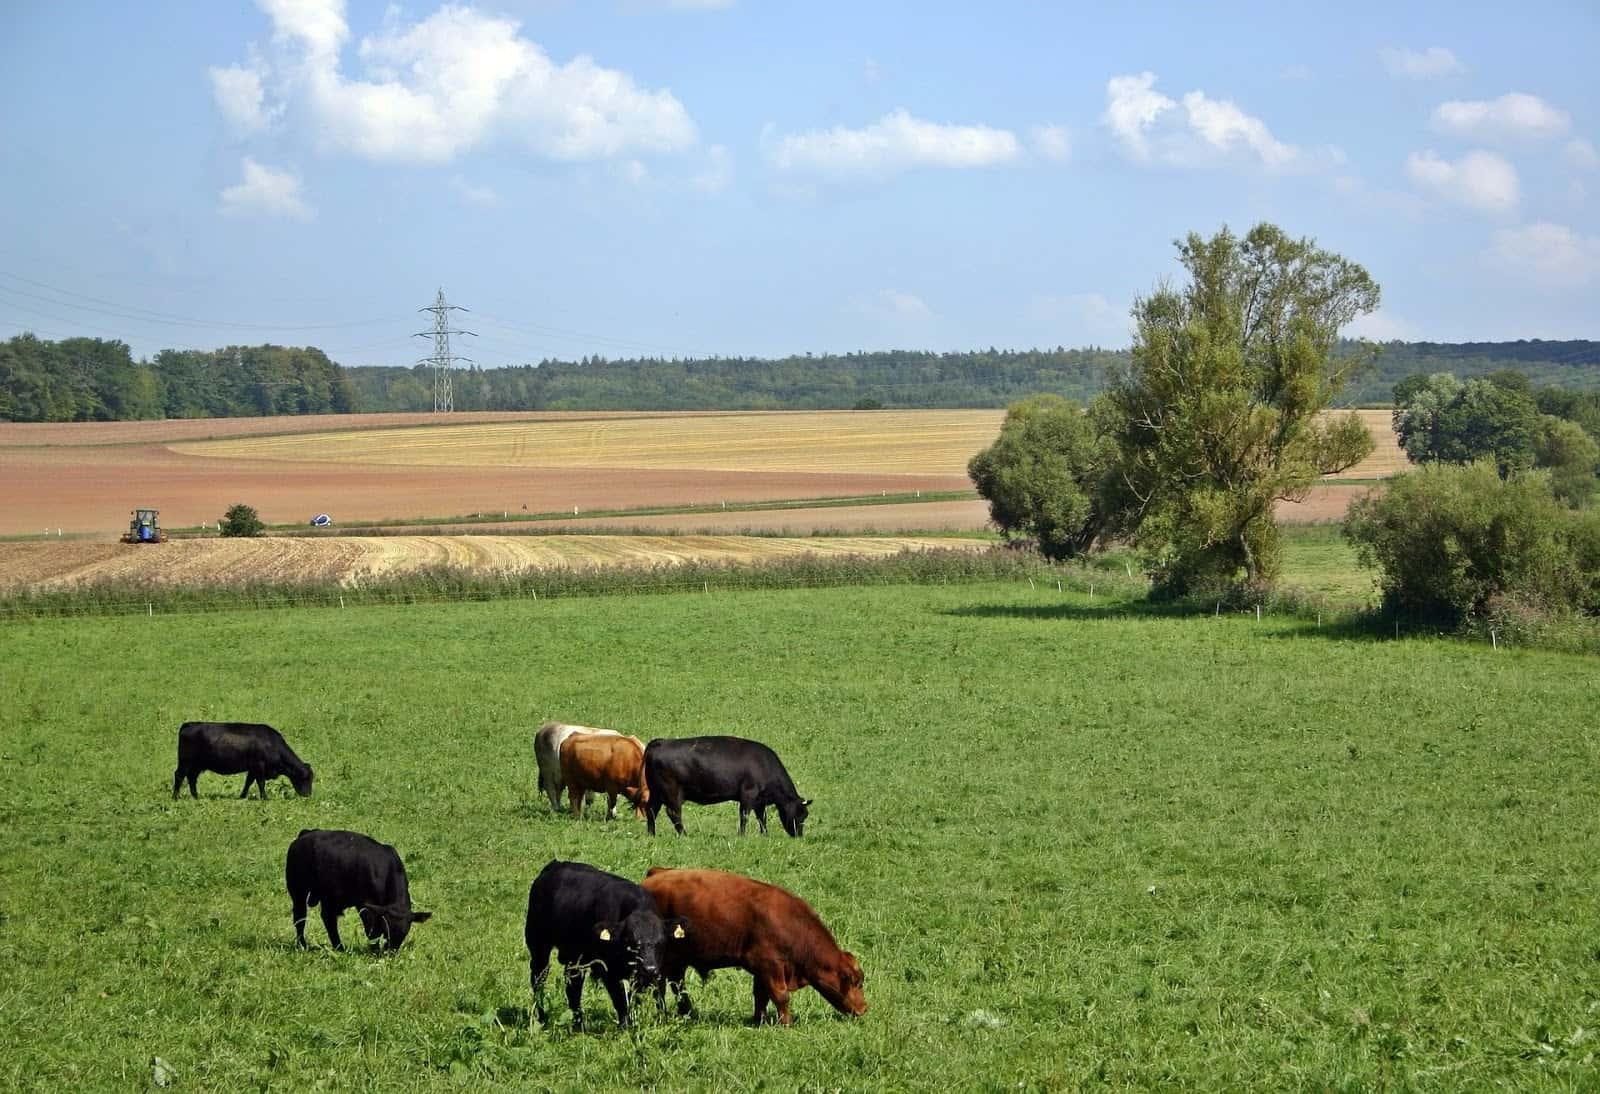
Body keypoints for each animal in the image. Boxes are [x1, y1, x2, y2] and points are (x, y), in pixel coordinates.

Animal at [173, 722, 313, 799]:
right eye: (305, 778)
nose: (308, 795)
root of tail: (190, 724)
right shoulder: (259, 766)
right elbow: (261, 783)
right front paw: (265, 798)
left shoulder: (252, 768)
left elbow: (248, 782)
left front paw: (242, 796)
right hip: (186, 762)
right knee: (179, 775)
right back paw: (175, 797)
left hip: (196, 765)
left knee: (192, 778)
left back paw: (196, 797)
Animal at [283, 831, 428, 946]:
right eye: (387, 930)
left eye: (405, 932)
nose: (391, 951)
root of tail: (305, 835)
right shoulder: (366, 906)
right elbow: (372, 932)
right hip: (298, 892)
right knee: (300, 917)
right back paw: (302, 945)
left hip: (328, 897)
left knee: (328, 918)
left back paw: (339, 947)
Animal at [524, 857, 688, 1030]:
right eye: (630, 942)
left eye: (661, 942)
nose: (649, 968)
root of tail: (554, 865)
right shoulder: (609, 970)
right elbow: (621, 1001)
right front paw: (625, 1028)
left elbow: (651, 999)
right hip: (538, 946)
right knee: (538, 980)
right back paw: (542, 1018)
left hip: (575, 957)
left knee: (573, 986)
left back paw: (578, 1025)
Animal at [636, 863, 870, 1023]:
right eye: (857, 982)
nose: (864, 1009)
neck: (792, 924)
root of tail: (657, 873)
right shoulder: (770, 965)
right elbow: (781, 996)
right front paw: (786, 1023)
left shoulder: (762, 969)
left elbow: (761, 995)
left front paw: (760, 1020)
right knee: (659, 986)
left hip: (679, 959)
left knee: (676, 985)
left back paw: (687, 1013)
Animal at [640, 735, 812, 838]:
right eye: (801, 814)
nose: (799, 836)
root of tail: (662, 742)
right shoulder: (748, 793)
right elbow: (744, 815)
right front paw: (742, 835)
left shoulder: (760, 800)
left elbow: (762, 818)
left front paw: (765, 835)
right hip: (671, 792)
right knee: (673, 813)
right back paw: (685, 835)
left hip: (656, 792)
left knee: (651, 810)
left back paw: (651, 834)